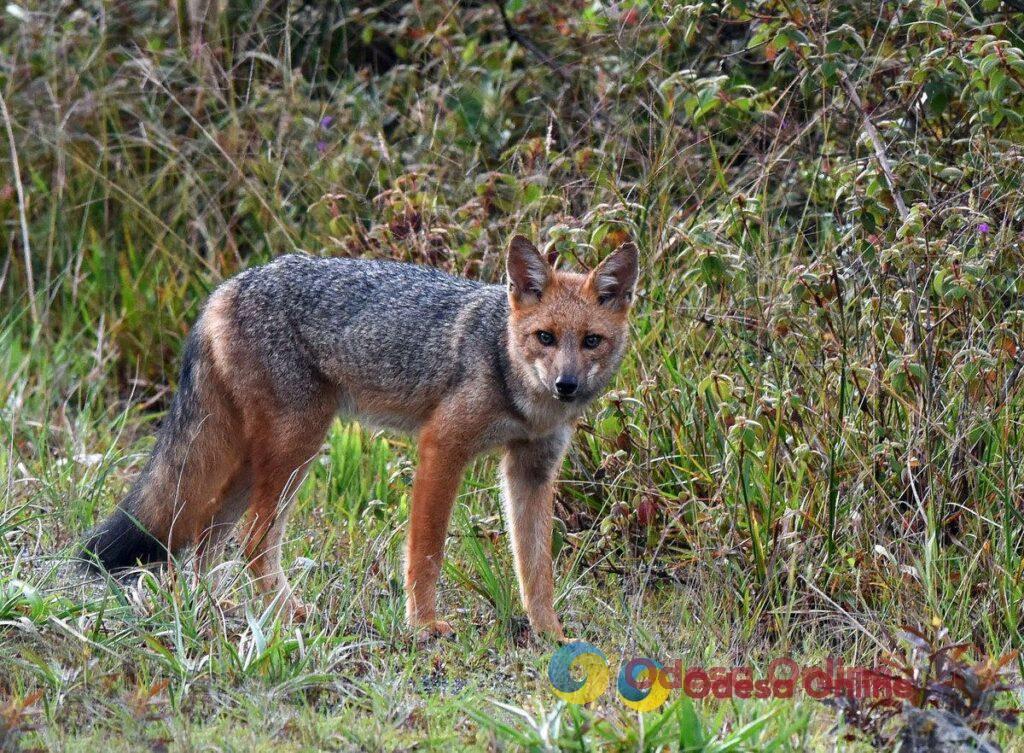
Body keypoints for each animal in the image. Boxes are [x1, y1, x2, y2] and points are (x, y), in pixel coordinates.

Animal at [81, 235, 638, 643]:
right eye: (545, 337)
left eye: (591, 341)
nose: (567, 385)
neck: (511, 373)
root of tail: (230, 286)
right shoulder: (442, 447)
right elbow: (427, 553)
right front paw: (424, 625)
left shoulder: (532, 470)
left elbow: (536, 569)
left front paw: (551, 636)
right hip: (296, 448)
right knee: (252, 540)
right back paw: (283, 613)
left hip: (257, 463)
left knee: (203, 535)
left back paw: (209, 607)